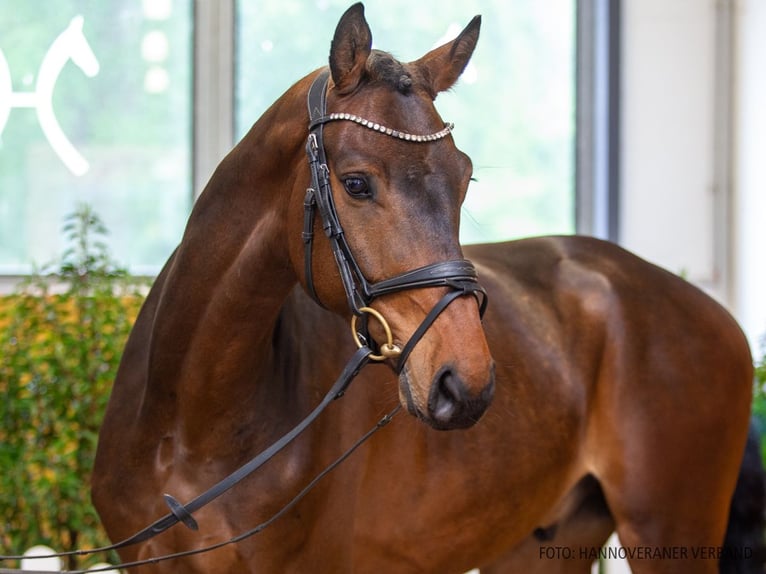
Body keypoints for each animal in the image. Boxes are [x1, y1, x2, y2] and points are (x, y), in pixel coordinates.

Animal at [92, 4, 760, 573]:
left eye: (464, 179)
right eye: (356, 183)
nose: (464, 383)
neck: (192, 423)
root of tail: (715, 315)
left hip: (670, 530)